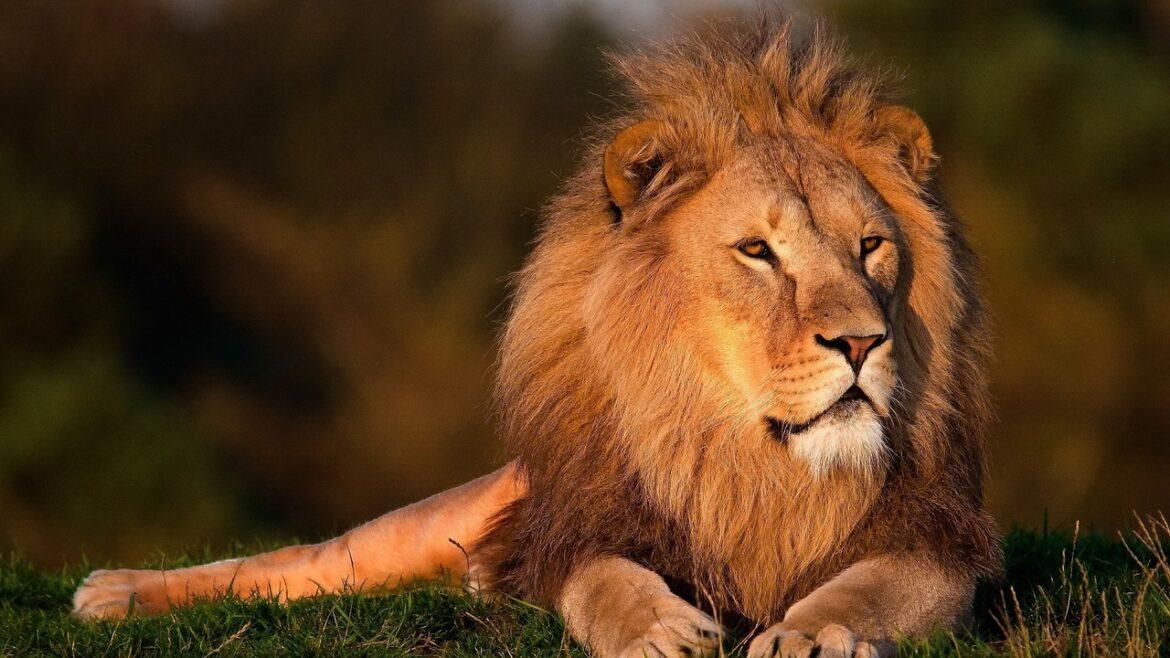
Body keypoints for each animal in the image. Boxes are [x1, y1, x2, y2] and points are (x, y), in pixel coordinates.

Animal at [72, 21, 1001, 658]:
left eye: (870, 246)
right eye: (757, 252)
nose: (863, 343)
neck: (747, 464)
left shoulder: (938, 545)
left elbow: (871, 588)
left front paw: (812, 632)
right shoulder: (575, 533)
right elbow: (606, 582)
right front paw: (659, 629)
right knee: (304, 562)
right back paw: (112, 592)